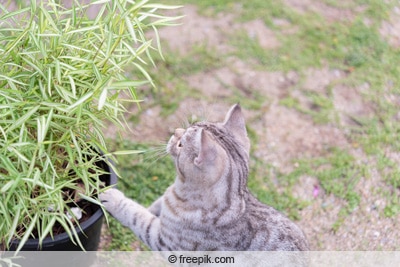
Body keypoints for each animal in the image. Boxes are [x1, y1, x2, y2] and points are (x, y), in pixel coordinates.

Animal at [101, 104, 310, 251]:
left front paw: (113, 198)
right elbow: (154, 206)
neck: (179, 188)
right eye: (190, 126)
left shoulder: (163, 240)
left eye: (181, 144)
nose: (175, 132)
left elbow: (137, 215)